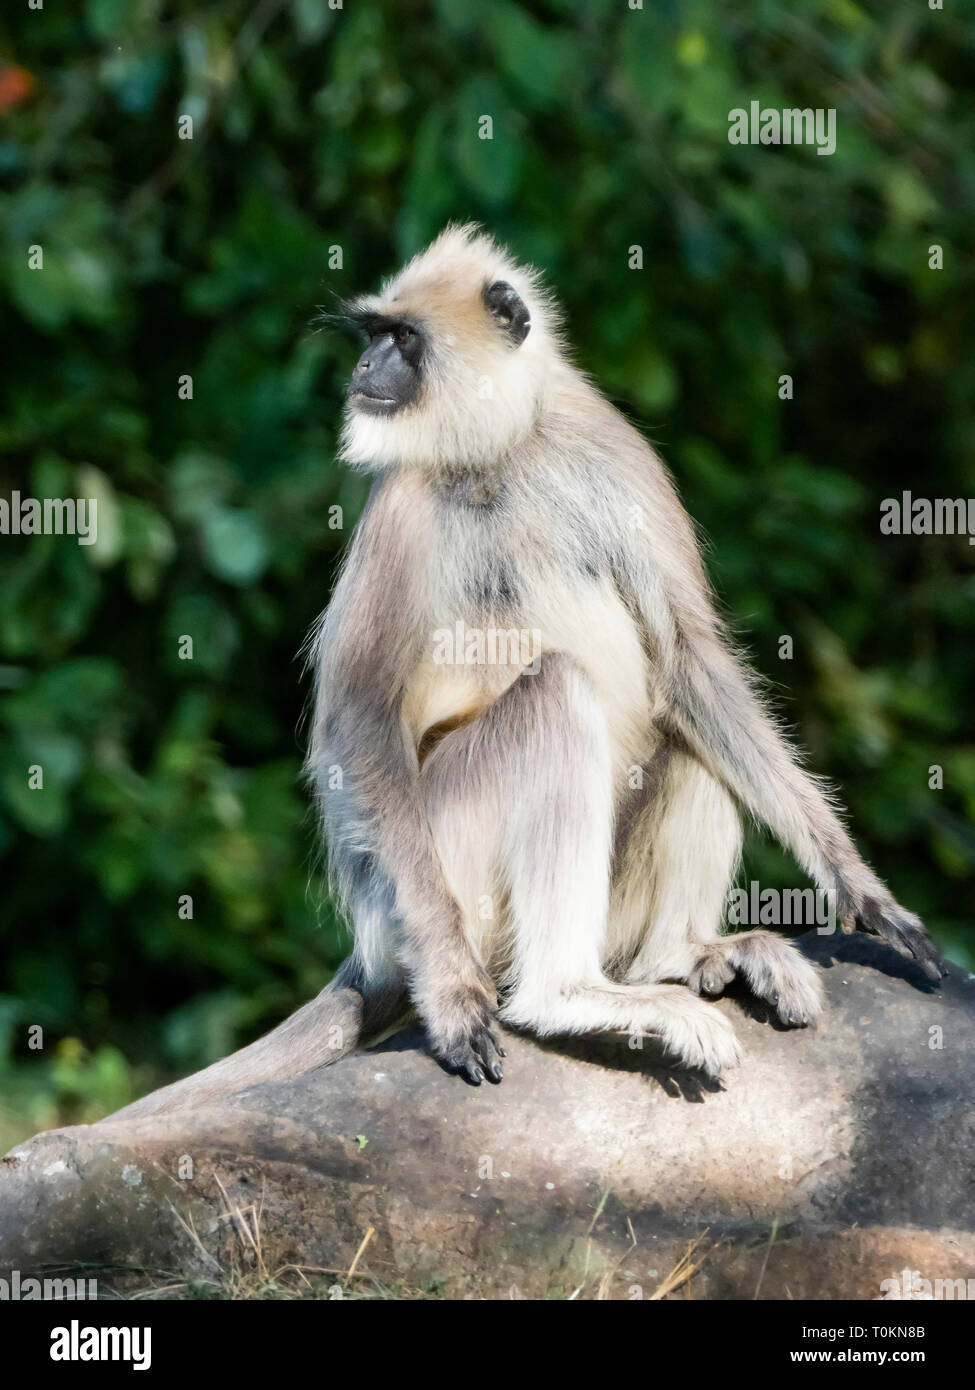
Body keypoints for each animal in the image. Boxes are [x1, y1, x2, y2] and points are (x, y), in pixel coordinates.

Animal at [296, 222, 945, 1084]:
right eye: (373, 336)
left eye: (401, 339)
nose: (366, 370)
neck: (505, 448)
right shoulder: (400, 502)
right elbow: (360, 719)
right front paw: (451, 995)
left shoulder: (612, 450)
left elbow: (685, 660)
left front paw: (862, 891)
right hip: (446, 857)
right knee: (553, 697)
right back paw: (562, 996)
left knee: (691, 739)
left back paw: (679, 956)